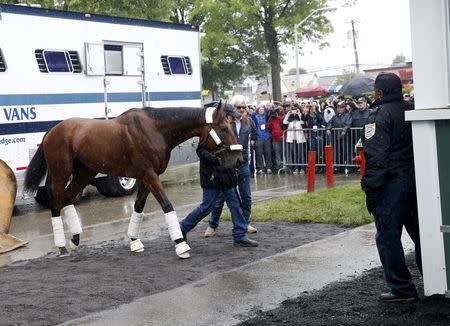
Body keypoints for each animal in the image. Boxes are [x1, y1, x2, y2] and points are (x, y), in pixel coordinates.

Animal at [23, 100, 243, 258]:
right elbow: (166, 204)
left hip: (84, 173)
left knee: (68, 199)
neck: (154, 129)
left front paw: (134, 242)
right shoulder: (149, 174)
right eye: (224, 128)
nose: (239, 158)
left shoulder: (146, 177)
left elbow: (138, 207)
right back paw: (61, 247)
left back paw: (74, 241)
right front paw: (181, 245)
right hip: (60, 175)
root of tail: (52, 131)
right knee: (56, 204)